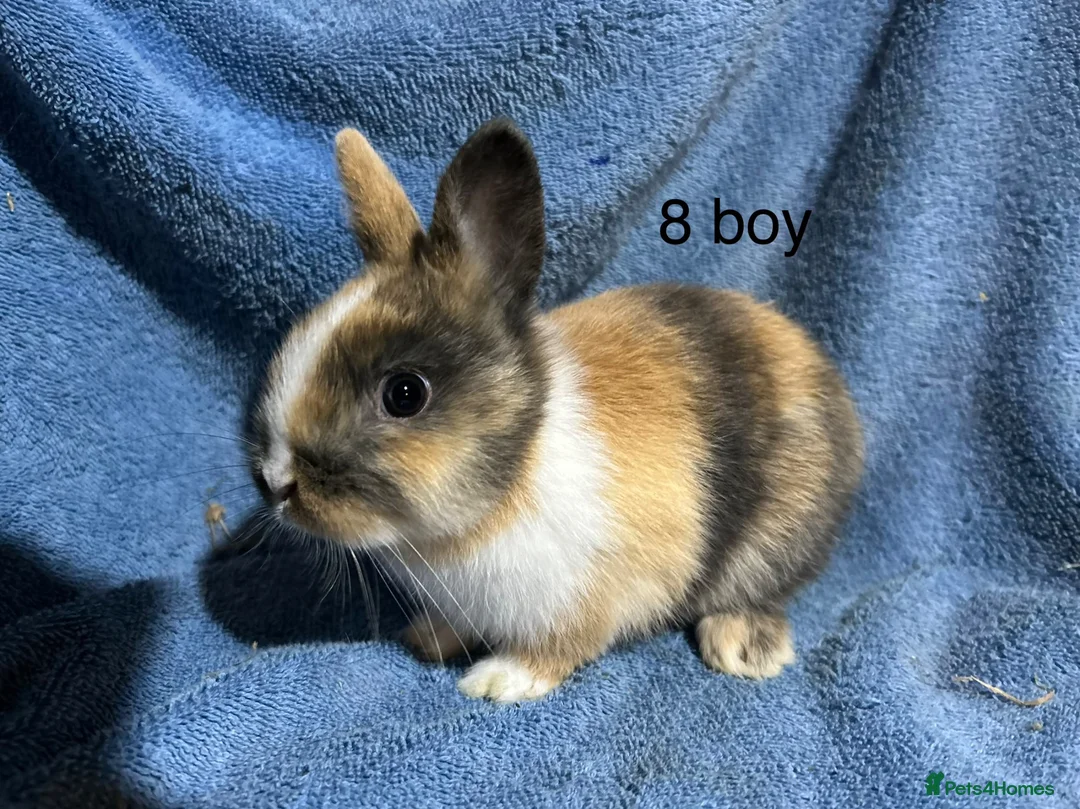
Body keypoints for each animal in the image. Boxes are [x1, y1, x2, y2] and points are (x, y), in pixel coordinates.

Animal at [248, 118, 864, 703]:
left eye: (405, 393)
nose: (276, 483)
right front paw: (427, 639)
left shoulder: (592, 591)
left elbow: (560, 647)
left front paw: (498, 680)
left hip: (773, 540)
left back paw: (741, 647)